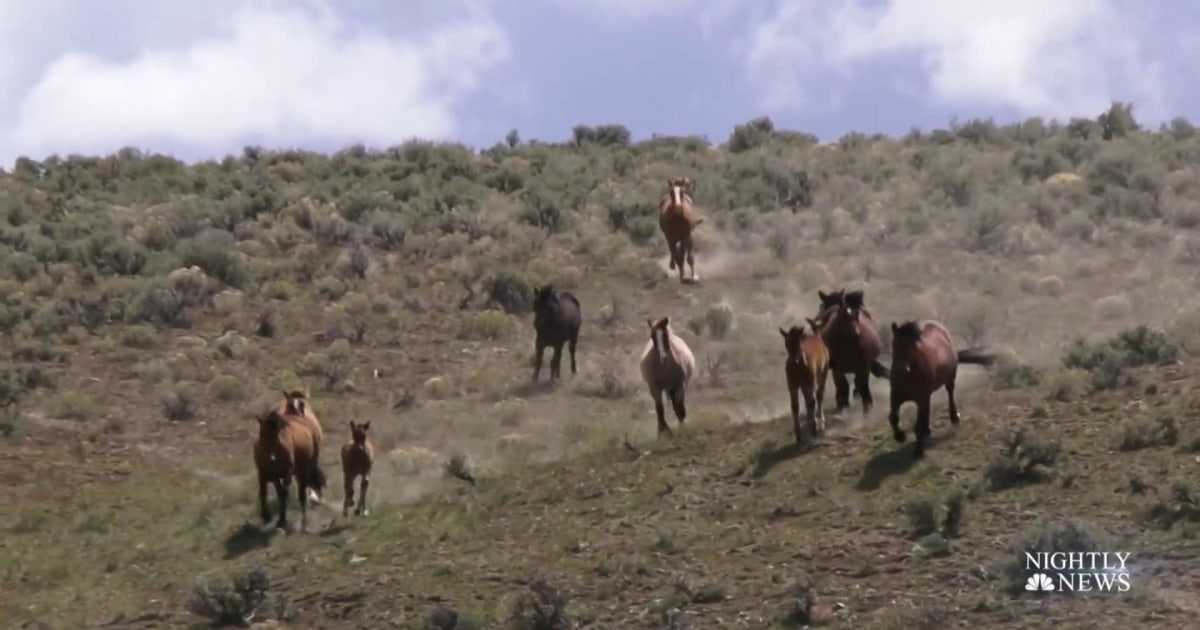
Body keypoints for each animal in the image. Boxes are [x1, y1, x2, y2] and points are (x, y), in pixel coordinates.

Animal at [887, 320, 997, 459]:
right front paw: (900, 436)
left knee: (950, 393)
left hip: (949, 379)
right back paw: (927, 430)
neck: (909, 375)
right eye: (895, 345)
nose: (902, 369)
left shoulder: (921, 397)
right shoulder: (896, 395)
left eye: (912, 348)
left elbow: (917, 426)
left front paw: (918, 450)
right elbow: (893, 417)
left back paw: (954, 417)